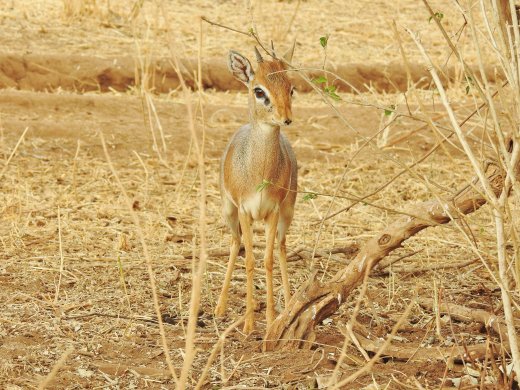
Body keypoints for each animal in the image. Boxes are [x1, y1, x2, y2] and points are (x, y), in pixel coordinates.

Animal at [214, 45, 296, 332]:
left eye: (291, 87)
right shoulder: (244, 211)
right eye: (259, 90)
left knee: (281, 247)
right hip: (228, 211)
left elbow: (267, 260)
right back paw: (219, 307)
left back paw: (290, 304)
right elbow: (250, 261)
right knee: (235, 242)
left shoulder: (273, 211)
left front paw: (270, 320)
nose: (286, 119)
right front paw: (249, 324)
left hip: (288, 213)